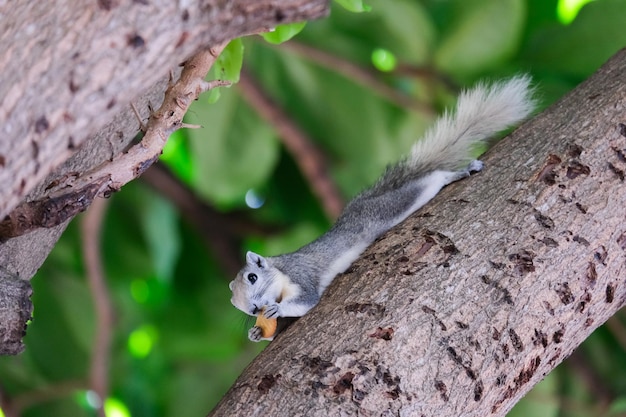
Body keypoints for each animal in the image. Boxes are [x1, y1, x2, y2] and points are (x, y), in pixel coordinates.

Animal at [227, 75, 532, 342]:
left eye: (252, 277)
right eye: (234, 301)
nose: (253, 309)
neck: (278, 273)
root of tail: (359, 206)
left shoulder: (300, 273)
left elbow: (305, 301)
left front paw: (279, 309)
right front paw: (256, 333)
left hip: (389, 208)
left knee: (428, 181)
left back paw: (457, 173)